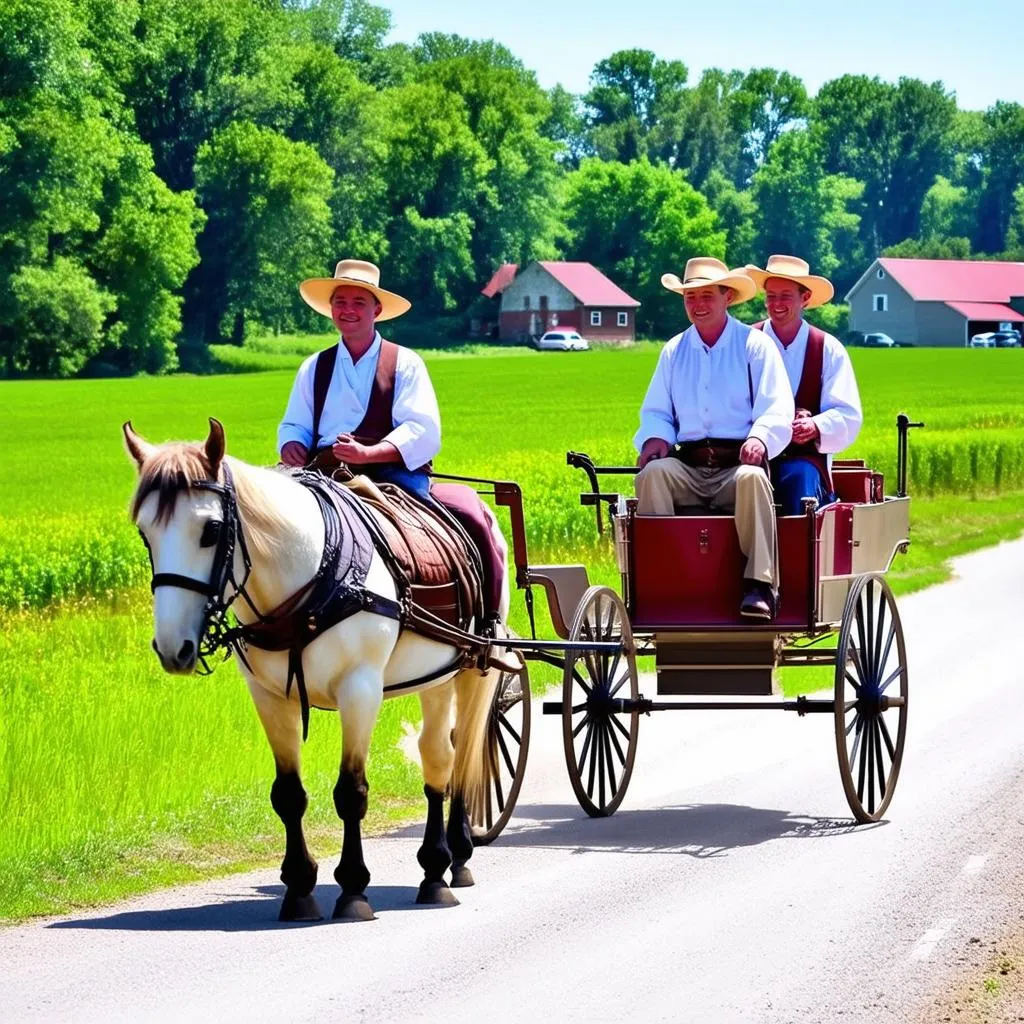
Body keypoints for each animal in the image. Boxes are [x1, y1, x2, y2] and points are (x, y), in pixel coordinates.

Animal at [123, 415, 507, 921]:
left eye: (211, 529)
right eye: (145, 532)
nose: (173, 648)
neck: (310, 574)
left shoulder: (360, 690)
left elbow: (351, 791)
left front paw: (353, 888)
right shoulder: (269, 696)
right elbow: (288, 795)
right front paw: (299, 888)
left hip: (475, 667)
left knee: (462, 757)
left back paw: (454, 860)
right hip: (438, 674)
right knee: (437, 756)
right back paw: (433, 869)